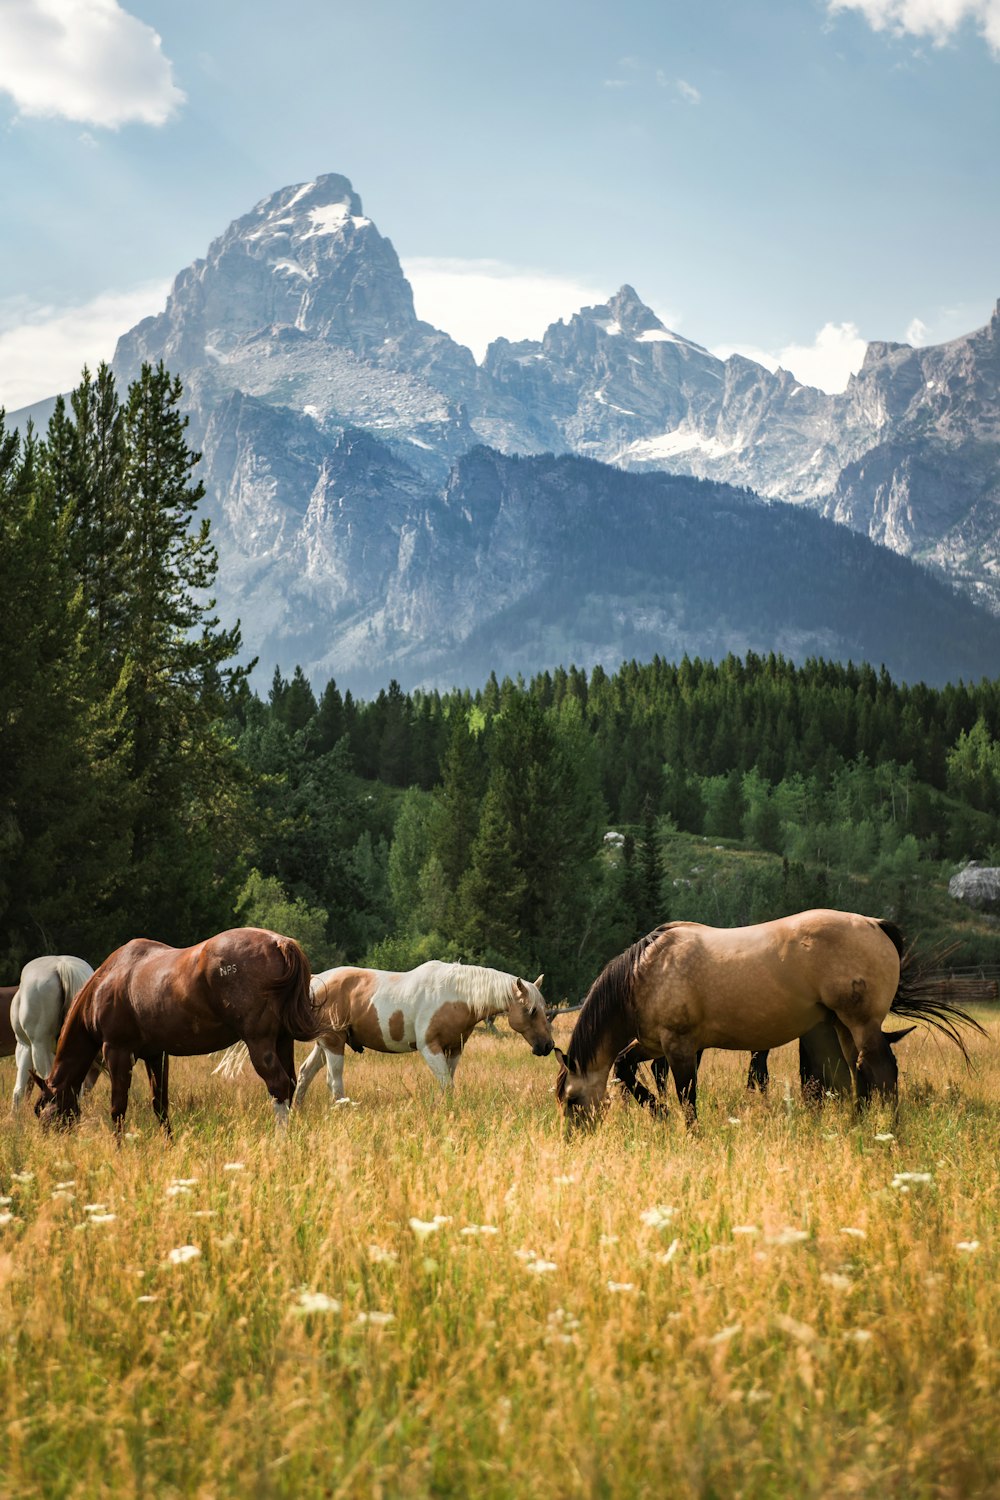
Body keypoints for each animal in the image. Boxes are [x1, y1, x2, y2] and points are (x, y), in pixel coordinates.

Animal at [35, 924, 319, 1134]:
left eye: (44, 1113)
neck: (107, 981)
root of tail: (278, 943)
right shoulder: (156, 1056)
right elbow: (160, 1105)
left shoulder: (117, 1052)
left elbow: (118, 1108)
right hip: (283, 1041)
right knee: (290, 1084)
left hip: (259, 1043)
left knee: (279, 1086)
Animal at [554, 906, 983, 1128]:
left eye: (572, 1101)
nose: (573, 1139)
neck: (644, 972)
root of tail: (875, 924)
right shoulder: (653, 1044)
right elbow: (626, 1068)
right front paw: (659, 1113)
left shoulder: (679, 1046)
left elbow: (687, 1097)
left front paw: (688, 1131)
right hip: (842, 1026)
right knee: (858, 1072)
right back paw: (855, 1127)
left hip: (861, 1023)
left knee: (882, 1072)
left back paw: (887, 1132)